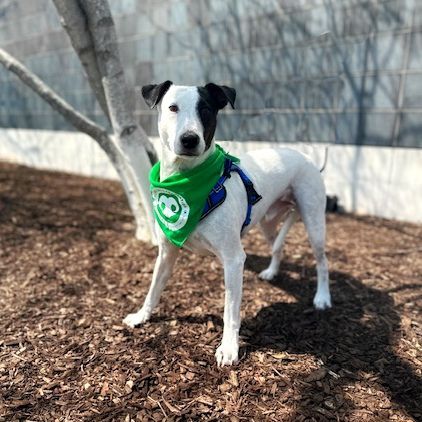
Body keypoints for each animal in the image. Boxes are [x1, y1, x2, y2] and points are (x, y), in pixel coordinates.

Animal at [123, 81, 332, 366]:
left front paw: (229, 348)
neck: (188, 181)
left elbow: (230, 311)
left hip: (313, 221)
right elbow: (153, 289)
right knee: (278, 247)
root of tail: (308, 158)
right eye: (172, 107)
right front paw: (141, 316)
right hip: (267, 221)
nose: (190, 139)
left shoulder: (234, 260)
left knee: (322, 262)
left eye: (206, 109)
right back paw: (271, 272)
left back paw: (322, 297)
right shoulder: (166, 252)